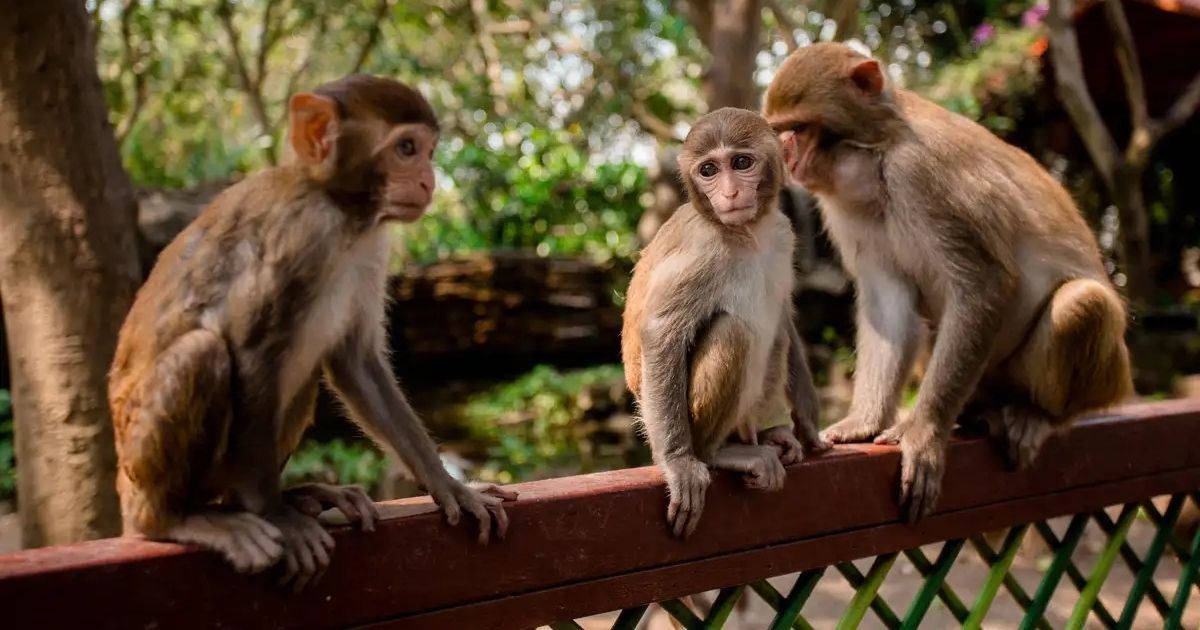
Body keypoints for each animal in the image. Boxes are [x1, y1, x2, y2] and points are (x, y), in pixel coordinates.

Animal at [108, 75, 517, 590]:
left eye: (427, 150)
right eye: (407, 148)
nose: (429, 181)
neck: (342, 213)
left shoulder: (371, 247)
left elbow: (356, 362)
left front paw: (449, 486)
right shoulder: (298, 236)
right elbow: (253, 355)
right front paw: (276, 516)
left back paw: (297, 495)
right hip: (138, 466)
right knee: (203, 354)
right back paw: (180, 518)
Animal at [621, 107, 828, 538]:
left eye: (742, 163)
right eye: (708, 170)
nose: (730, 193)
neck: (747, 232)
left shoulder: (783, 233)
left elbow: (785, 315)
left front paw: (808, 421)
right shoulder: (704, 250)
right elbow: (661, 332)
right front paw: (678, 463)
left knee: (776, 334)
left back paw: (773, 432)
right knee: (734, 332)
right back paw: (717, 453)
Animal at [763, 43, 1133, 522]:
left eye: (799, 128)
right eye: (778, 130)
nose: (784, 154)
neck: (880, 161)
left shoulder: (921, 173)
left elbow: (983, 285)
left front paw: (923, 433)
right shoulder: (845, 208)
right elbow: (890, 304)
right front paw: (865, 421)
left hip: (1103, 379)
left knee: (1082, 303)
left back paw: (1041, 417)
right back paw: (980, 413)